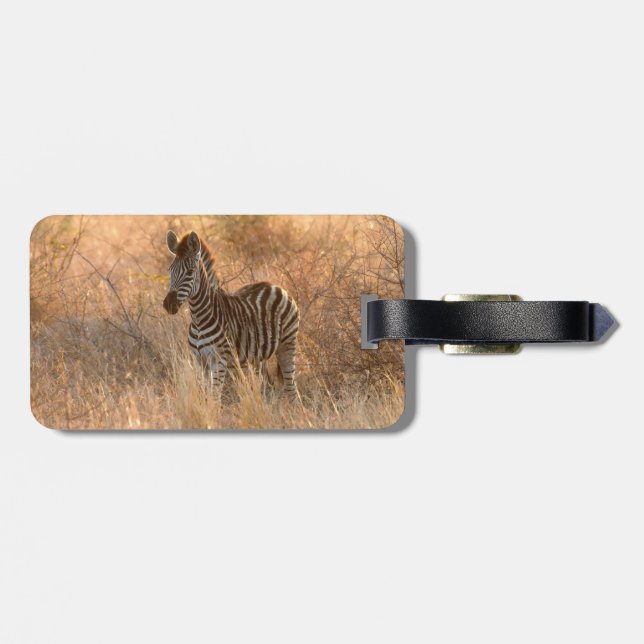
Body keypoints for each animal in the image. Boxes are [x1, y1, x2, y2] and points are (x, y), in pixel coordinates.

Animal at [162, 230, 300, 399]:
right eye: (170, 270)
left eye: (190, 272)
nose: (168, 304)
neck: (199, 319)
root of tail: (276, 286)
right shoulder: (200, 361)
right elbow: (206, 396)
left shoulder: (219, 361)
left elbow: (214, 398)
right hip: (257, 356)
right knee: (268, 385)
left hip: (287, 343)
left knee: (291, 388)